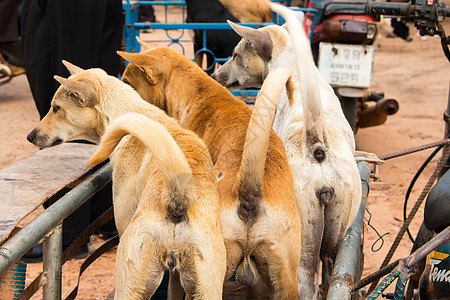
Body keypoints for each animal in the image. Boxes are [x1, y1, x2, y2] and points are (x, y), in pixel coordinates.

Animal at [26, 62, 227, 298]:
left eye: (56, 108)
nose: (30, 136)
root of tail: (179, 195)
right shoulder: (177, 279)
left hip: (130, 277)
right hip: (206, 286)